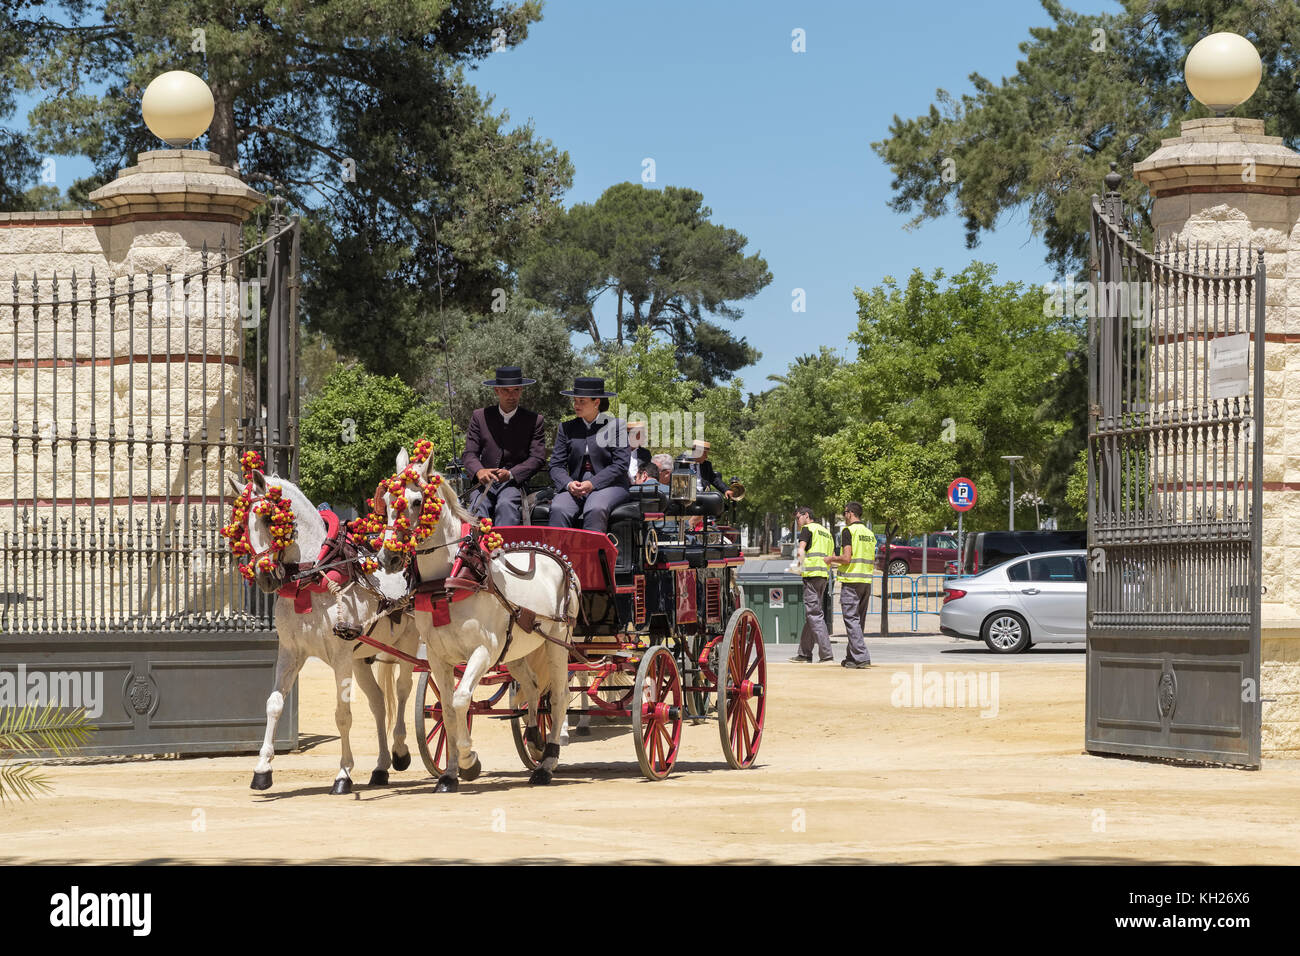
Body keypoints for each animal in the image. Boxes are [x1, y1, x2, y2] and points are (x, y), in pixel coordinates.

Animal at [226, 468, 418, 790]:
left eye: (268, 518)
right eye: (241, 524)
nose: (265, 578)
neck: (314, 577)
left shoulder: (340, 657)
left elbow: (343, 715)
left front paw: (343, 773)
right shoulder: (291, 652)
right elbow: (274, 704)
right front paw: (263, 768)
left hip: (407, 645)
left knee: (404, 691)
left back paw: (401, 751)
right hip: (361, 659)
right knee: (378, 702)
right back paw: (380, 767)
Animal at [369, 447, 577, 790]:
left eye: (417, 502)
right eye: (385, 502)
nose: (389, 557)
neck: (448, 581)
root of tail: (555, 557)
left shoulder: (483, 651)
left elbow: (460, 700)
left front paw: (469, 760)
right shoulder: (438, 657)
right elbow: (446, 711)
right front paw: (450, 773)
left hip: (557, 643)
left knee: (559, 698)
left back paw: (547, 763)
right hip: (517, 650)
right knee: (533, 688)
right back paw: (535, 739)